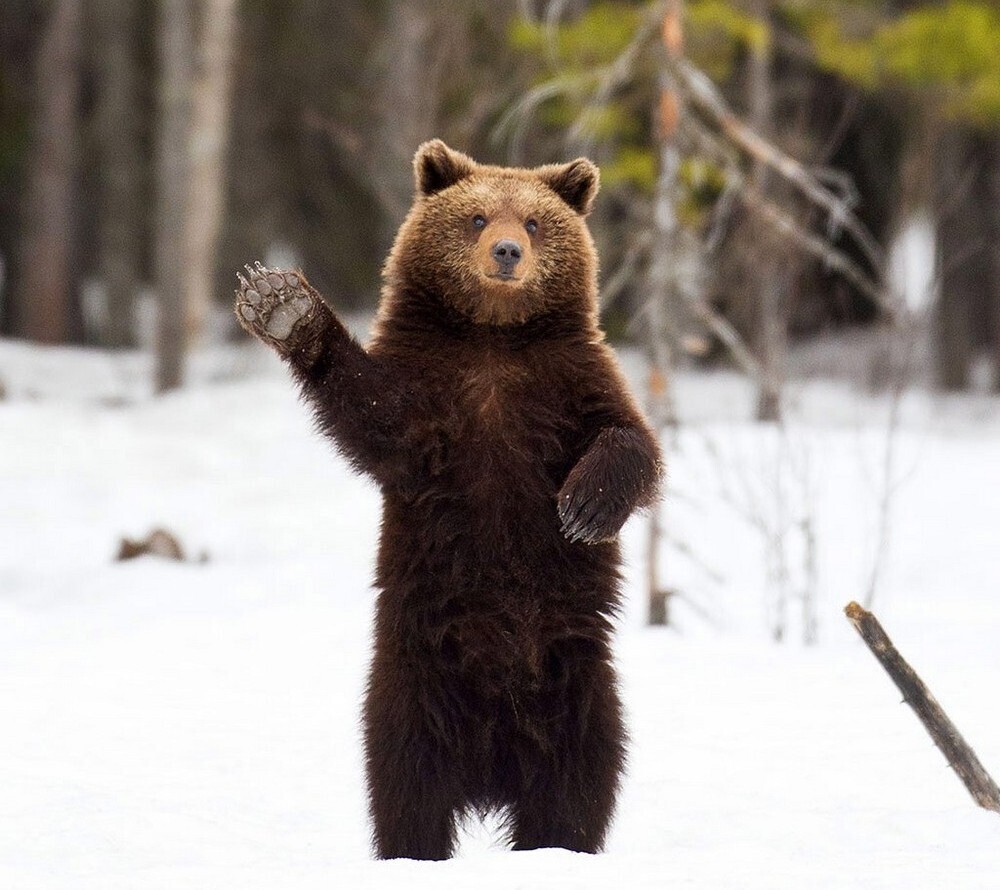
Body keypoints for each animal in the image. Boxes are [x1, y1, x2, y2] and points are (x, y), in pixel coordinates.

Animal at [234, 140, 664, 860]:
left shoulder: (569, 384)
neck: (493, 339)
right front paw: (283, 304)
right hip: (413, 683)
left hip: (579, 688)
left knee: (579, 785)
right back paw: (414, 851)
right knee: (407, 785)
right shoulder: (434, 401)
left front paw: (583, 506)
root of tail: (492, 768)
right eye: (476, 216)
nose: (507, 252)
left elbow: (630, 440)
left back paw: (558, 848)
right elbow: (376, 415)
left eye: (535, 222)